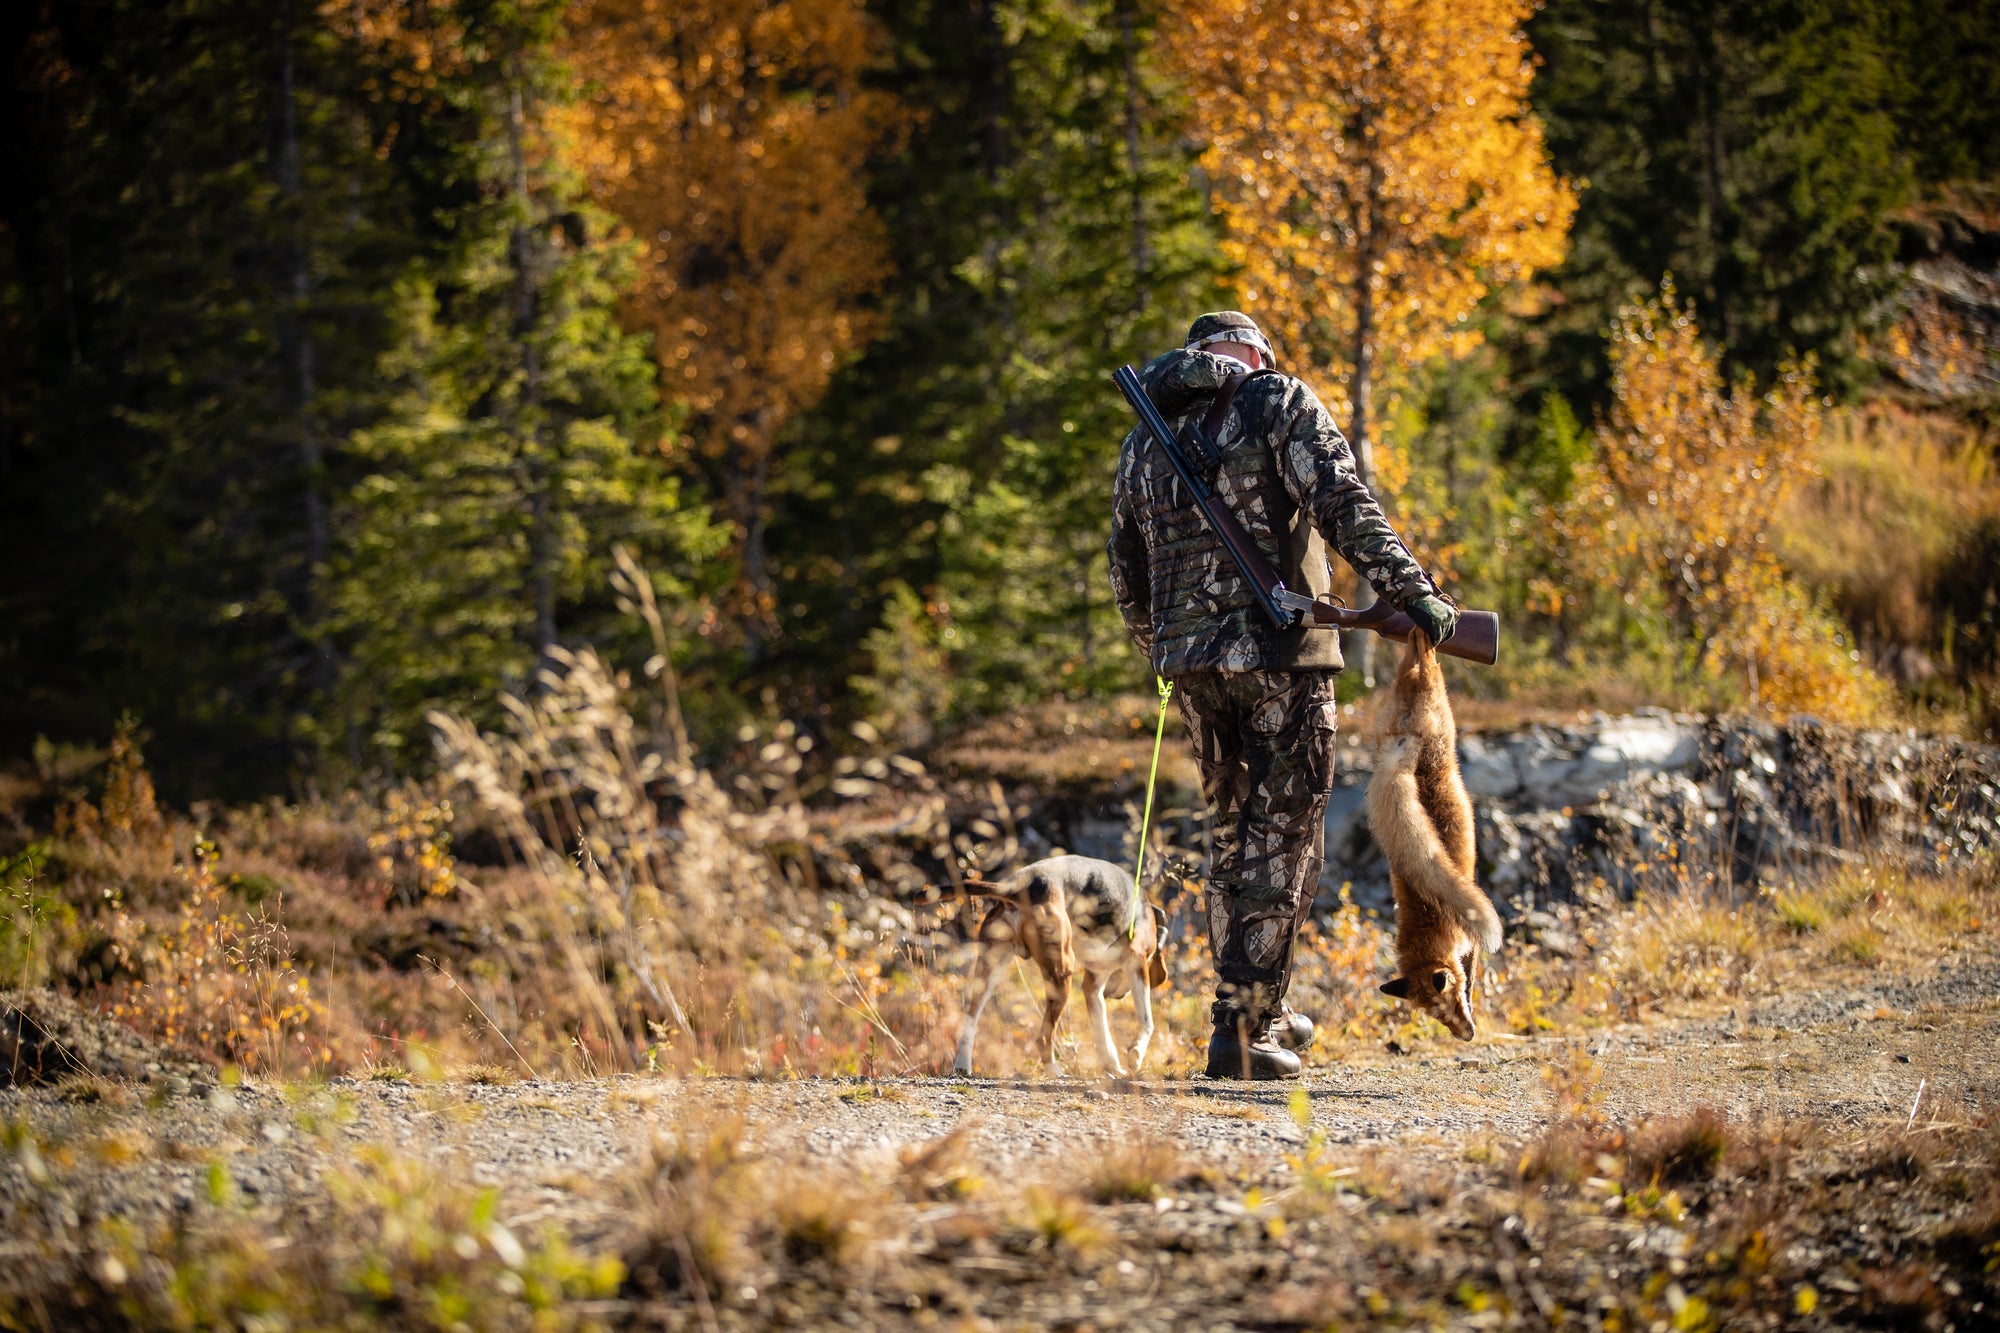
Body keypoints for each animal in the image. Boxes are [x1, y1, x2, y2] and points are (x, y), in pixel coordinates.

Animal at [952, 852, 1168, 1080]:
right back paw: (1054, 1071)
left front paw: (1113, 1067)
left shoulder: (1093, 987)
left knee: (970, 1019)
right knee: (1043, 1038)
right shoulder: (1138, 962)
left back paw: (962, 1065)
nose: (1117, 996)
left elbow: (1103, 1034)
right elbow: (1147, 1021)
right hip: (1062, 972)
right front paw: (1135, 1055)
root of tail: (1017, 887)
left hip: (990, 970)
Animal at [1368, 628, 1504, 1032]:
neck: (1429, 927)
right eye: (1437, 1018)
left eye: (1448, 1005)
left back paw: (1420, 627)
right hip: (1436, 712)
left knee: (1415, 661)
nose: (1468, 1036)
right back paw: (1423, 630)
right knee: (1424, 661)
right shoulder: (1467, 947)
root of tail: (1401, 745)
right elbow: (1473, 972)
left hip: (1411, 703)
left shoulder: (1464, 948)